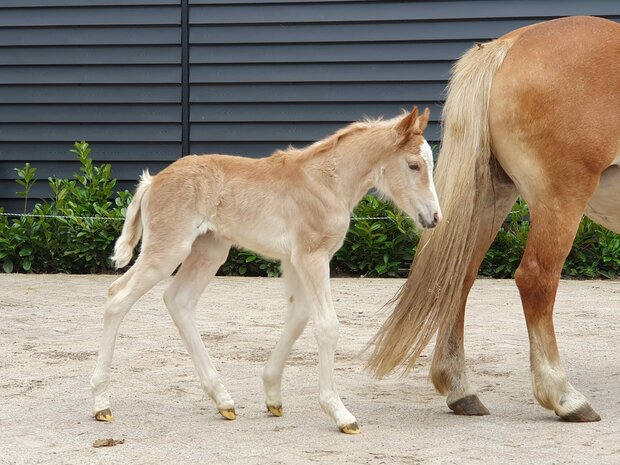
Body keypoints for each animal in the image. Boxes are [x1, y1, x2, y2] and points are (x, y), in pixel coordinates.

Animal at [368, 15, 620, 420]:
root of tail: (511, 44)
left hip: (492, 196)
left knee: (460, 275)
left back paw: (460, 390)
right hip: (559, 200)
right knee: (536, 279)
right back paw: (565, 397)